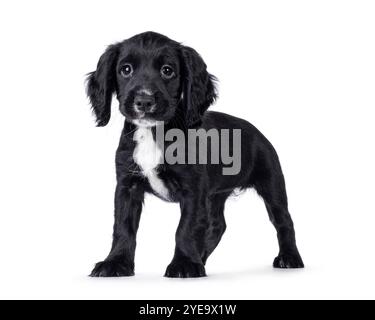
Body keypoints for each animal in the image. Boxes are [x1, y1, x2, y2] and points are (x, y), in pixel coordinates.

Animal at [86, 31, 304, 278]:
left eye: (167, 70)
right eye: (125, 69)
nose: (144, 101)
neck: (153, 132)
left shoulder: (192, 189)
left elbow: (186, 227)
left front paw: (184, 264)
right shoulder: (127, 185)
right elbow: (123, 227)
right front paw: (115, 263)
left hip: (272, 183)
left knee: (283, 220)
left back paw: (289, 258)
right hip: (216, 195)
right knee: (217, 225)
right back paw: (202, 258)